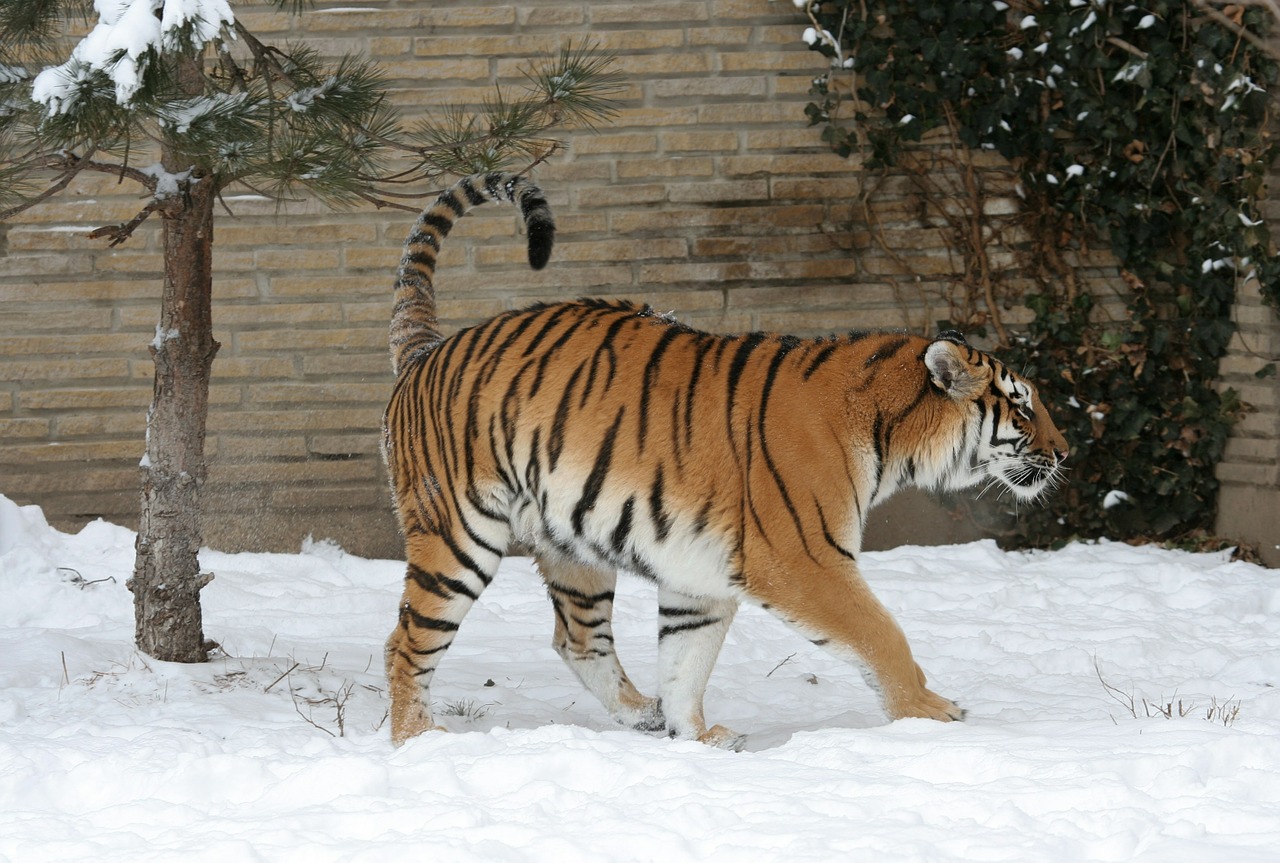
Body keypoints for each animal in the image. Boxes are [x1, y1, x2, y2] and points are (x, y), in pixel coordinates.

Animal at [378, 170, 1070, 747]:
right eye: (1023, 407)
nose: (1066, 451)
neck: (888, 435)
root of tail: (427, 350)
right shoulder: (805, 558)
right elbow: (882, 633)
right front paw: (929, 714)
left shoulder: (699, 575)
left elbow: (686, 662)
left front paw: (695, 737)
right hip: (457, 534)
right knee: (406, 642)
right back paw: (418, 741)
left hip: (571, 544)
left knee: (578, 638)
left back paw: (642, 714)